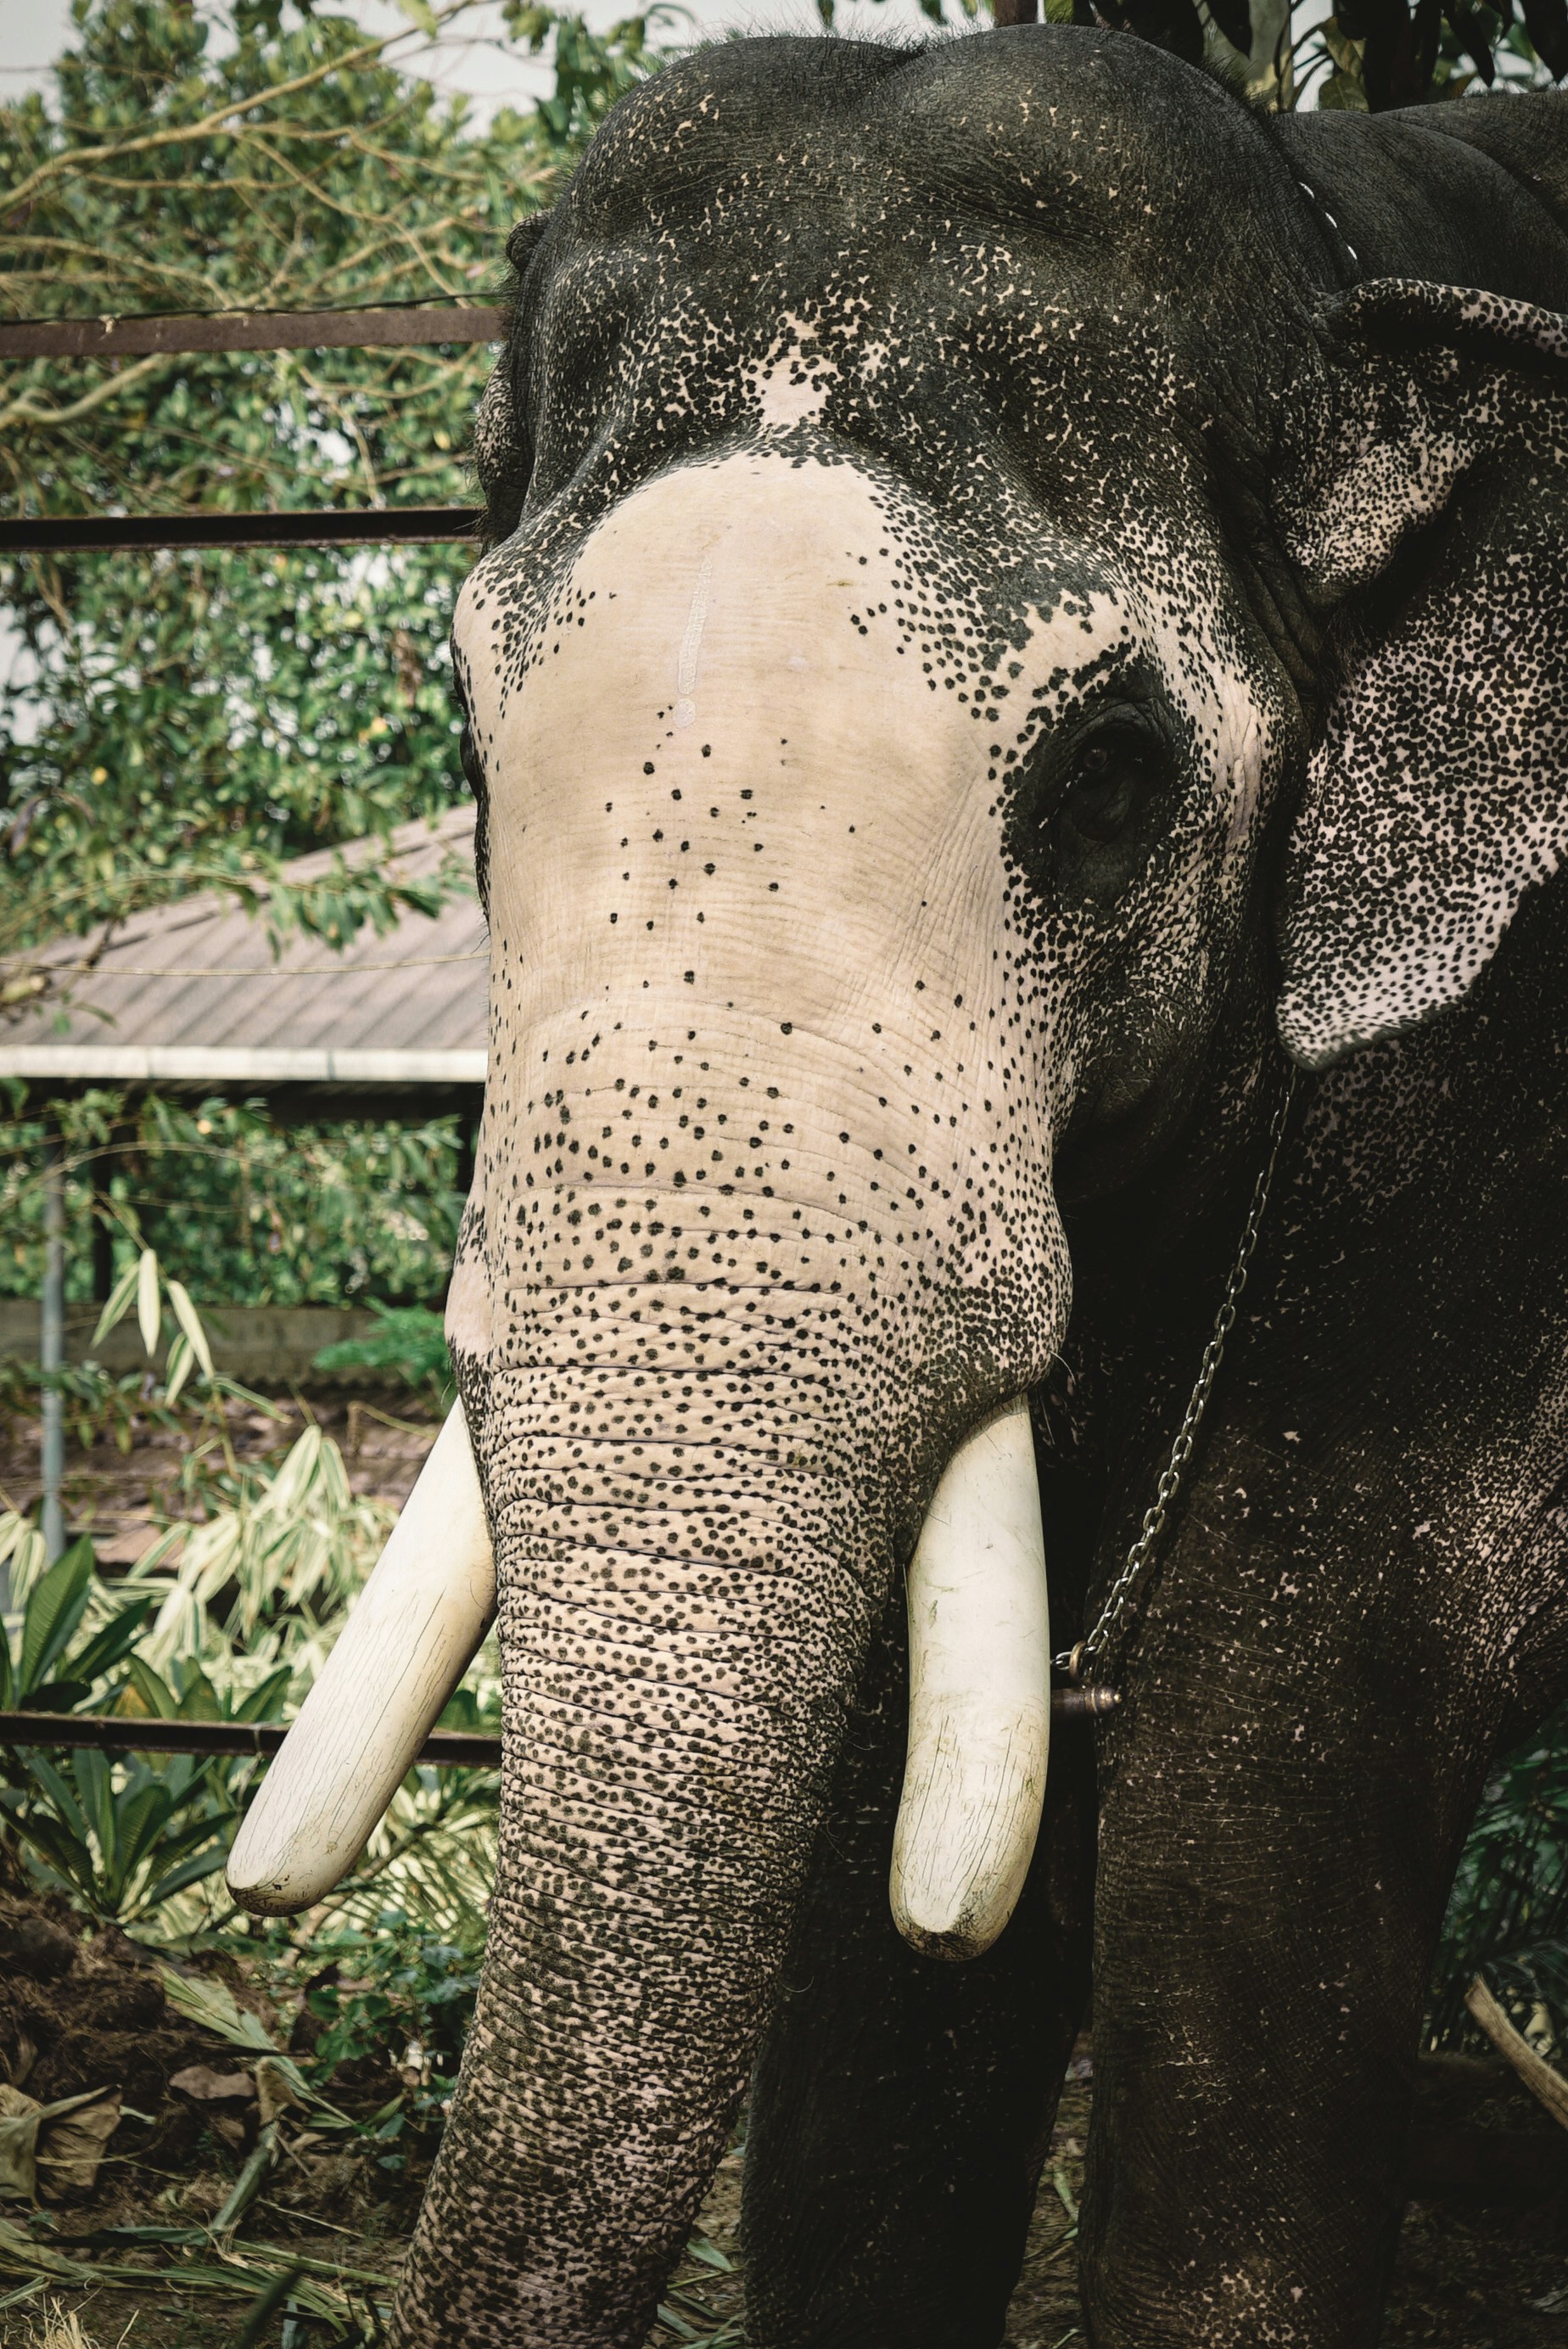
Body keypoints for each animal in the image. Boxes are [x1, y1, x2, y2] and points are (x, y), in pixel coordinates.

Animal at [228, 26, 1568, 2349]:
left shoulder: (1456, 1182)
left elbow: (1266, 1813)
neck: (1342, 239)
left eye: (1110, 777)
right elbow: (887, 1965)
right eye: (467, 726)